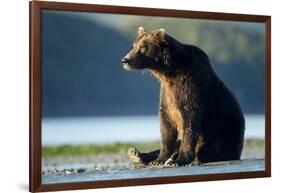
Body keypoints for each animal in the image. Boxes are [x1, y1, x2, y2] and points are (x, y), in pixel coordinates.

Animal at [121, 26, 244, 167]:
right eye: (134, 45)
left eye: (142, 47)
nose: (125, 60)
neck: (168, 72)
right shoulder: (167, 93)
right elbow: (166, 124)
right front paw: (159, 159)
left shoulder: (190, 84)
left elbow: (189, 119)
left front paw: (180, 160)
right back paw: (137, 154)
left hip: (224, 133)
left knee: (211, 148)